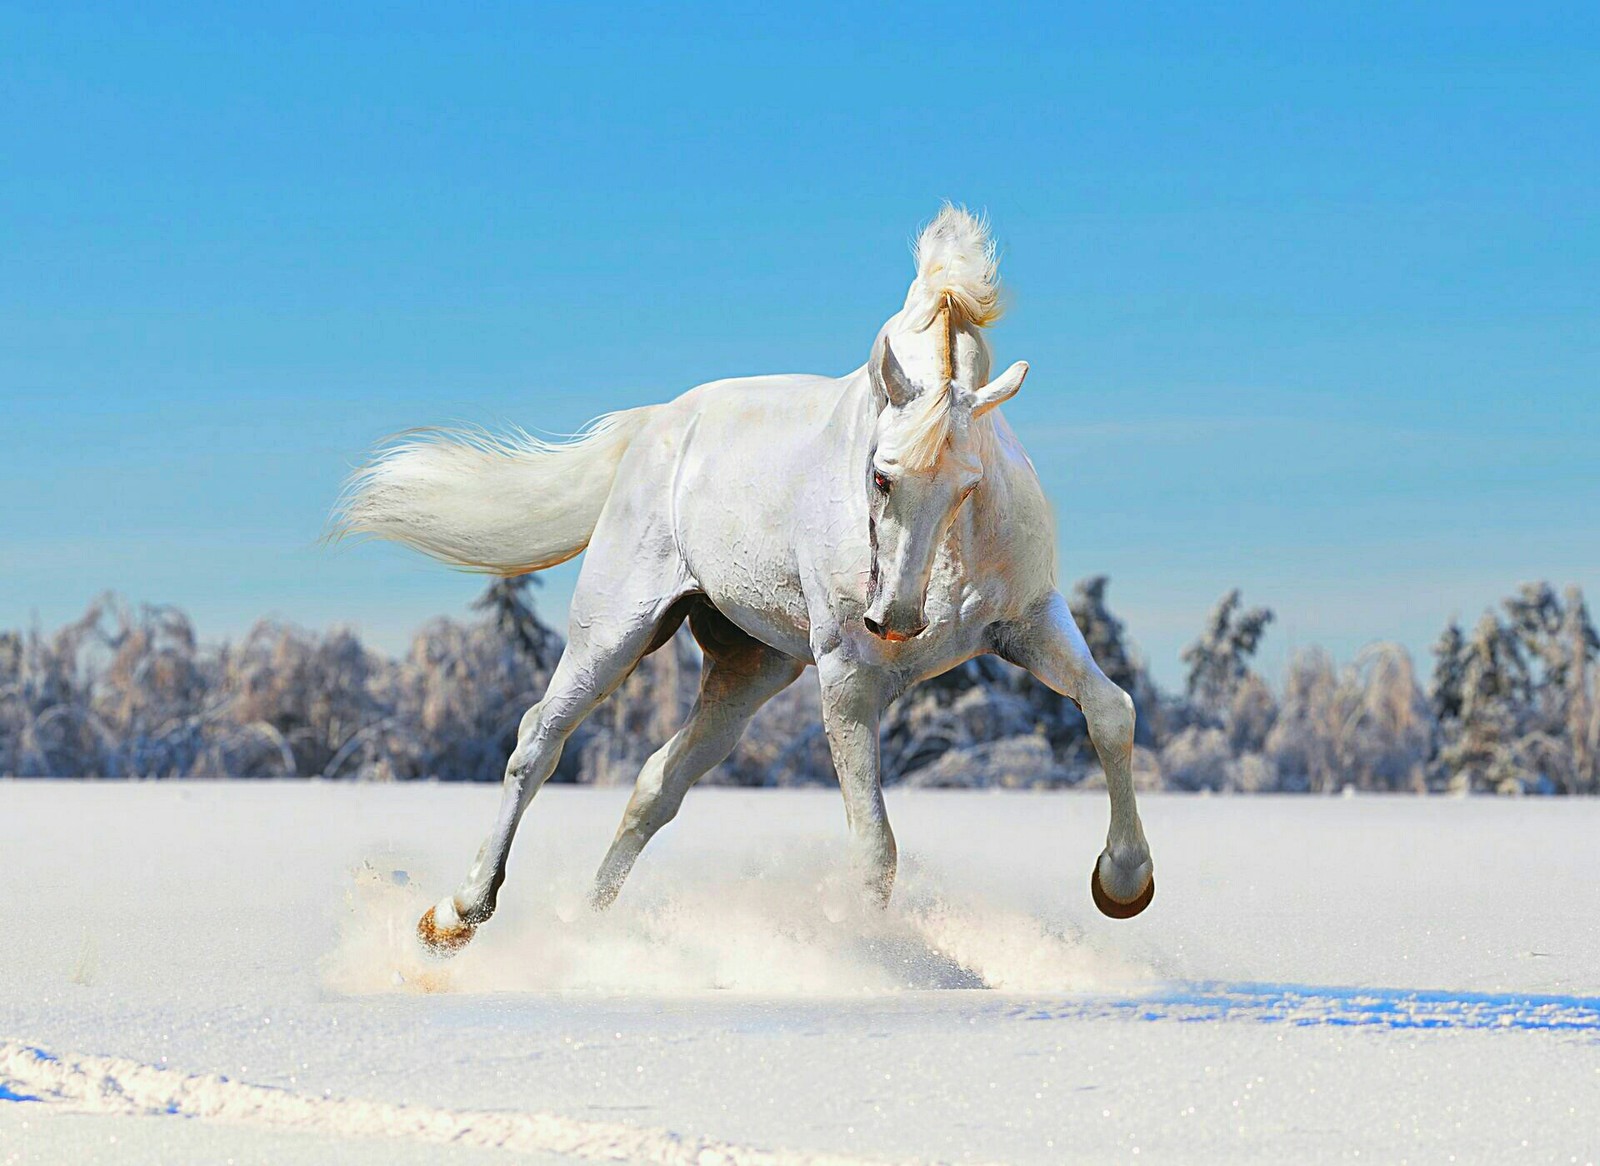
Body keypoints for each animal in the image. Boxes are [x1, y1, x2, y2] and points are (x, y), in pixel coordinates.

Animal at [337, 206, 1158, 953]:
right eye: (880, 476)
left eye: (968, 487)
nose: (895, 620)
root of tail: (658, 425)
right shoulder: (849, 677)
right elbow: (874, 847)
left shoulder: (1030, 624)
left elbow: (1111, 711)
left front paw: (1123, 883)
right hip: (614, 633)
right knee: (538, 740)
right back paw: (457, 914)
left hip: (749, 668)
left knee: (657, 784)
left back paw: (587, 927)